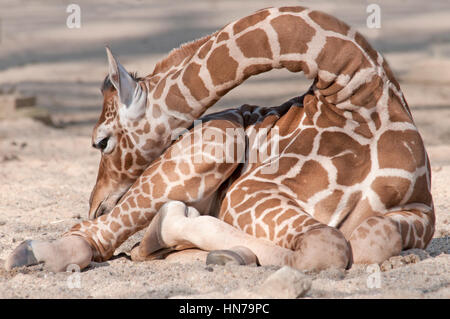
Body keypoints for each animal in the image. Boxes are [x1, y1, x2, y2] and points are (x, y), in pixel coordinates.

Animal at [6, 6, 436, 272]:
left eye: (101, 142)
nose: (95, 204)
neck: (359, 96)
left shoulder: (422, 210)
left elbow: (367, 241)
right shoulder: (252, 192)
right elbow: (327, 247)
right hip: (219, 135)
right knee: (95, 237)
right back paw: (37, 251)